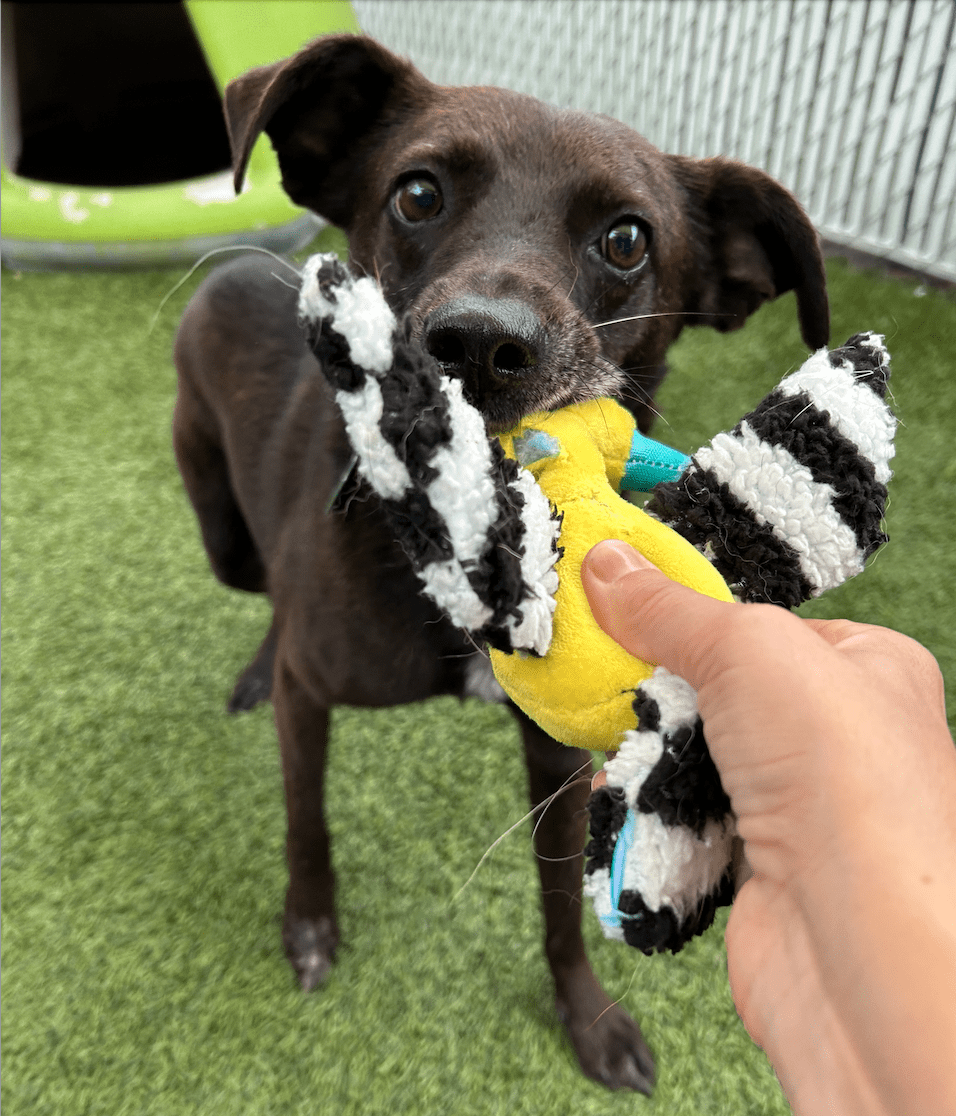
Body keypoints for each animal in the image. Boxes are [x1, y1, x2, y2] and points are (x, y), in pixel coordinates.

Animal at [172, 32, 829, 1089]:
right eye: (418, 193)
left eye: (627, 240)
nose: (479, 343)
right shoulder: (315, 700)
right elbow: (307, 822)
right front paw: (309, 923)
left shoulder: (556, 761)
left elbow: (559, 906)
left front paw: (587, 1017)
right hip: (221, 528)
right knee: (266, 589)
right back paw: (258, 667)